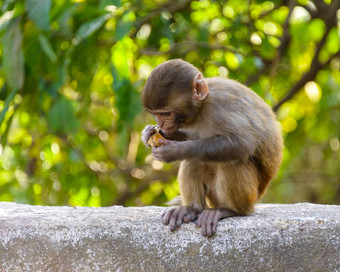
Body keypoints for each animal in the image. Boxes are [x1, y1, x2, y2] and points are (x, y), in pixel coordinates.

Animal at [141, 59, 284, 236]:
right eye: (155, 114)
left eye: (166, 114)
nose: (160, 124)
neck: (202, 107)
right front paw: (149, 134)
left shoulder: (220, 107)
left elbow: (243, 143)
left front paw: (174, 151)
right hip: (212, 197)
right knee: (195, 161)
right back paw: (192, 209)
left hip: (250, 196)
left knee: (233, 162)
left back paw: (230, 210)